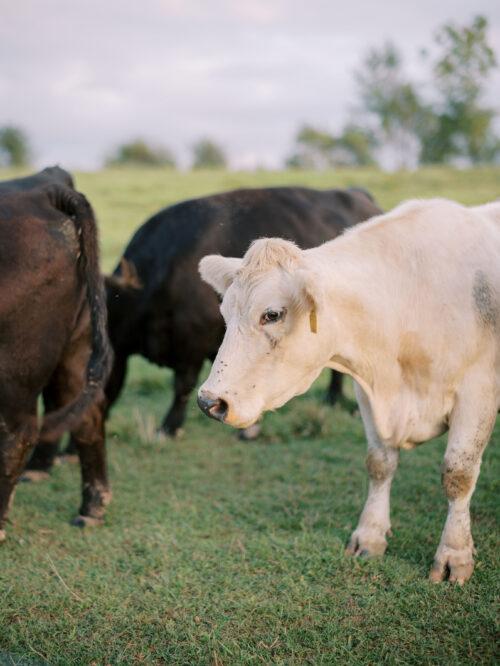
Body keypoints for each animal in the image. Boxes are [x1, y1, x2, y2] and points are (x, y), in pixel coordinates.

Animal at [197, 198, 498, 580]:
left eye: (272, 314)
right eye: (225, 312)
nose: (209, 402)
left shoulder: (479, 391)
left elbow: (458, 474)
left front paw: (454, 554)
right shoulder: (367, 395)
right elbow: (379, 463)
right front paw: (369, 536)